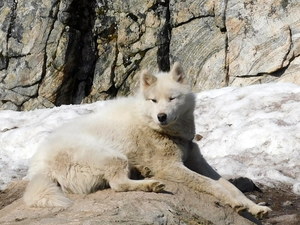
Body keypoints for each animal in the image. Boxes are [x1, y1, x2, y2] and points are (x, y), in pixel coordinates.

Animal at [24, 62, 270, 217]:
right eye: (153, 100)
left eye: (172, 98)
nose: (161, 116)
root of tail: (39, 167)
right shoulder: (171, 167)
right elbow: (212, 185)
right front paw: (236, 204)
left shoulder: (197, 162)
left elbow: (230, 186)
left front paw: (254, 207)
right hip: (113, 156)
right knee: (117, 184)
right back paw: (150, 184)